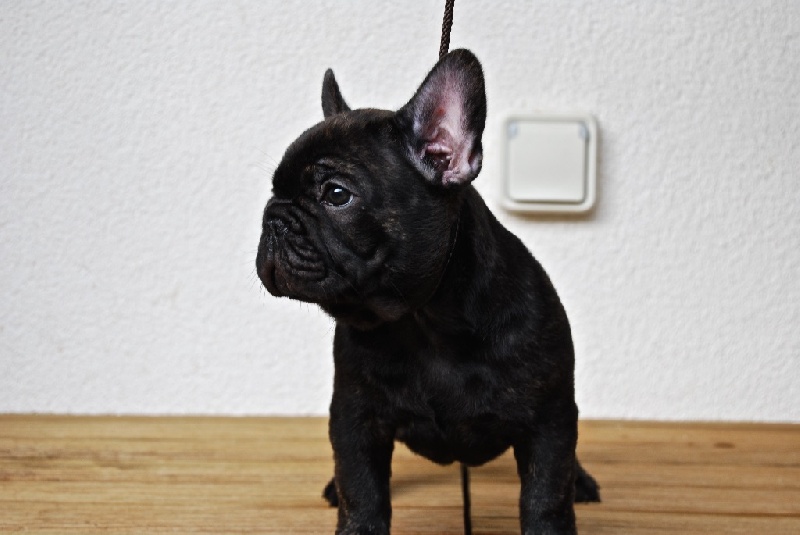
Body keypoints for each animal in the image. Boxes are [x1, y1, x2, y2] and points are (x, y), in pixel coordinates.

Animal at [256, 49, 599, 534]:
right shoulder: (355, 417)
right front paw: (357, 522)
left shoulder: (548, 420)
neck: (424, 320)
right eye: (273, 191)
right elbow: (361, 488)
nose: (274, 219)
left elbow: (546, 495)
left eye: (336, 194)